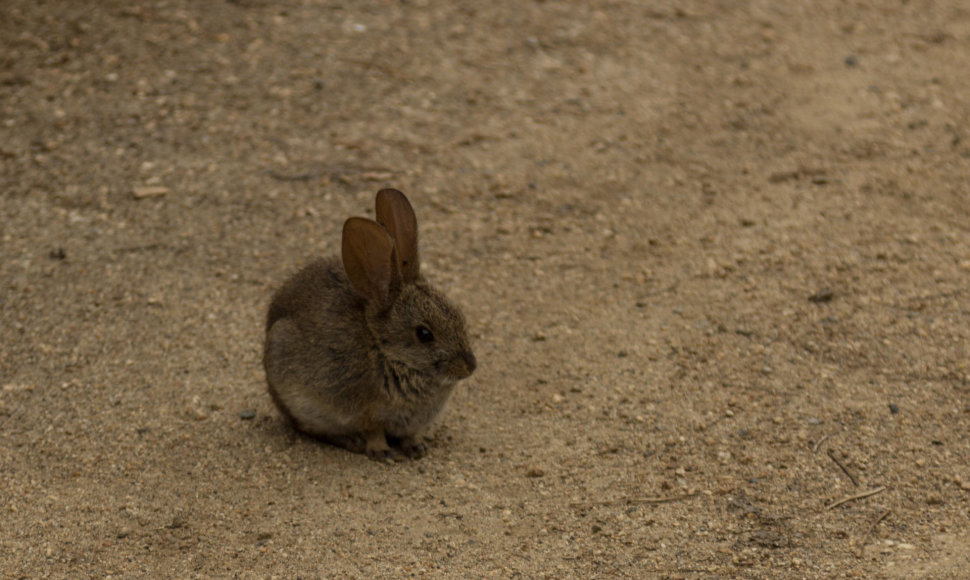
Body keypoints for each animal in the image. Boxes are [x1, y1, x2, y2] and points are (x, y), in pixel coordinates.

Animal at [264, 188, 476, 460]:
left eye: (459, 315)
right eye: (424, 333)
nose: (470, 366)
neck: (387, 352)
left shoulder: (411, 423)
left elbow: (410, 435)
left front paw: (417, 448)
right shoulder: (367, 413)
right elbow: (373, 432)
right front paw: (383, 453)